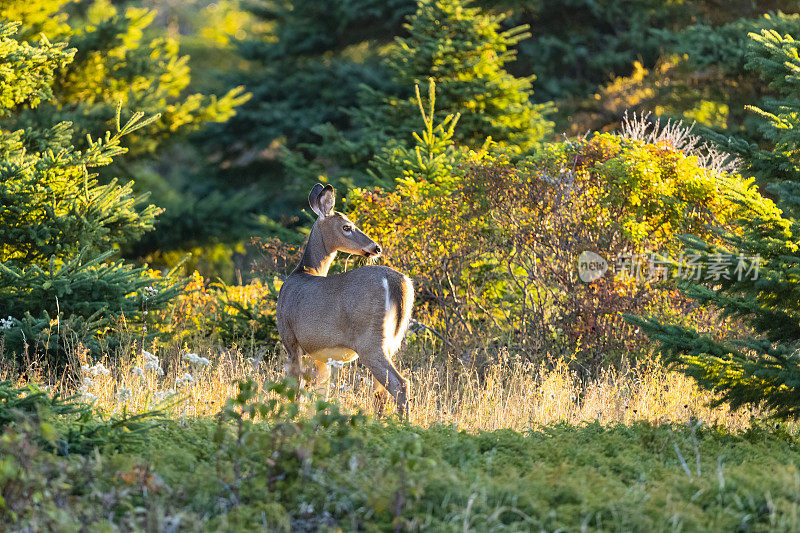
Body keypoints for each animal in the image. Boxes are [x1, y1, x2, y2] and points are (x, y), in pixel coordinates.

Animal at [276, 183, 416, 416]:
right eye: (347, 227)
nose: (376, 247)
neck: (303, 272)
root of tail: (397, 282)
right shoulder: (321, 355)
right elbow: (321, 392)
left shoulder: (291, 339)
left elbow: (296, 390)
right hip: (391, 341)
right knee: (381, 391)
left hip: (370, 341)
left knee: (399, 383)